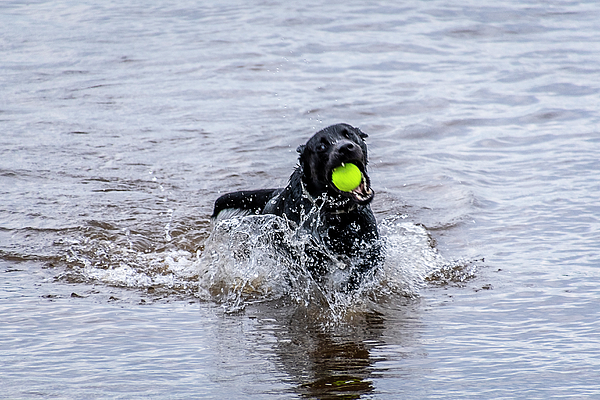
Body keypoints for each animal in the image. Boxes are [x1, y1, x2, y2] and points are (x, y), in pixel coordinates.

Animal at [212, 123, 380, 290]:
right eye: (321, 146)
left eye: (348, 134)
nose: (345, 147)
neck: (338, 215)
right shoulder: (310, 259)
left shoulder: (372, 244)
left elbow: (367, 263)